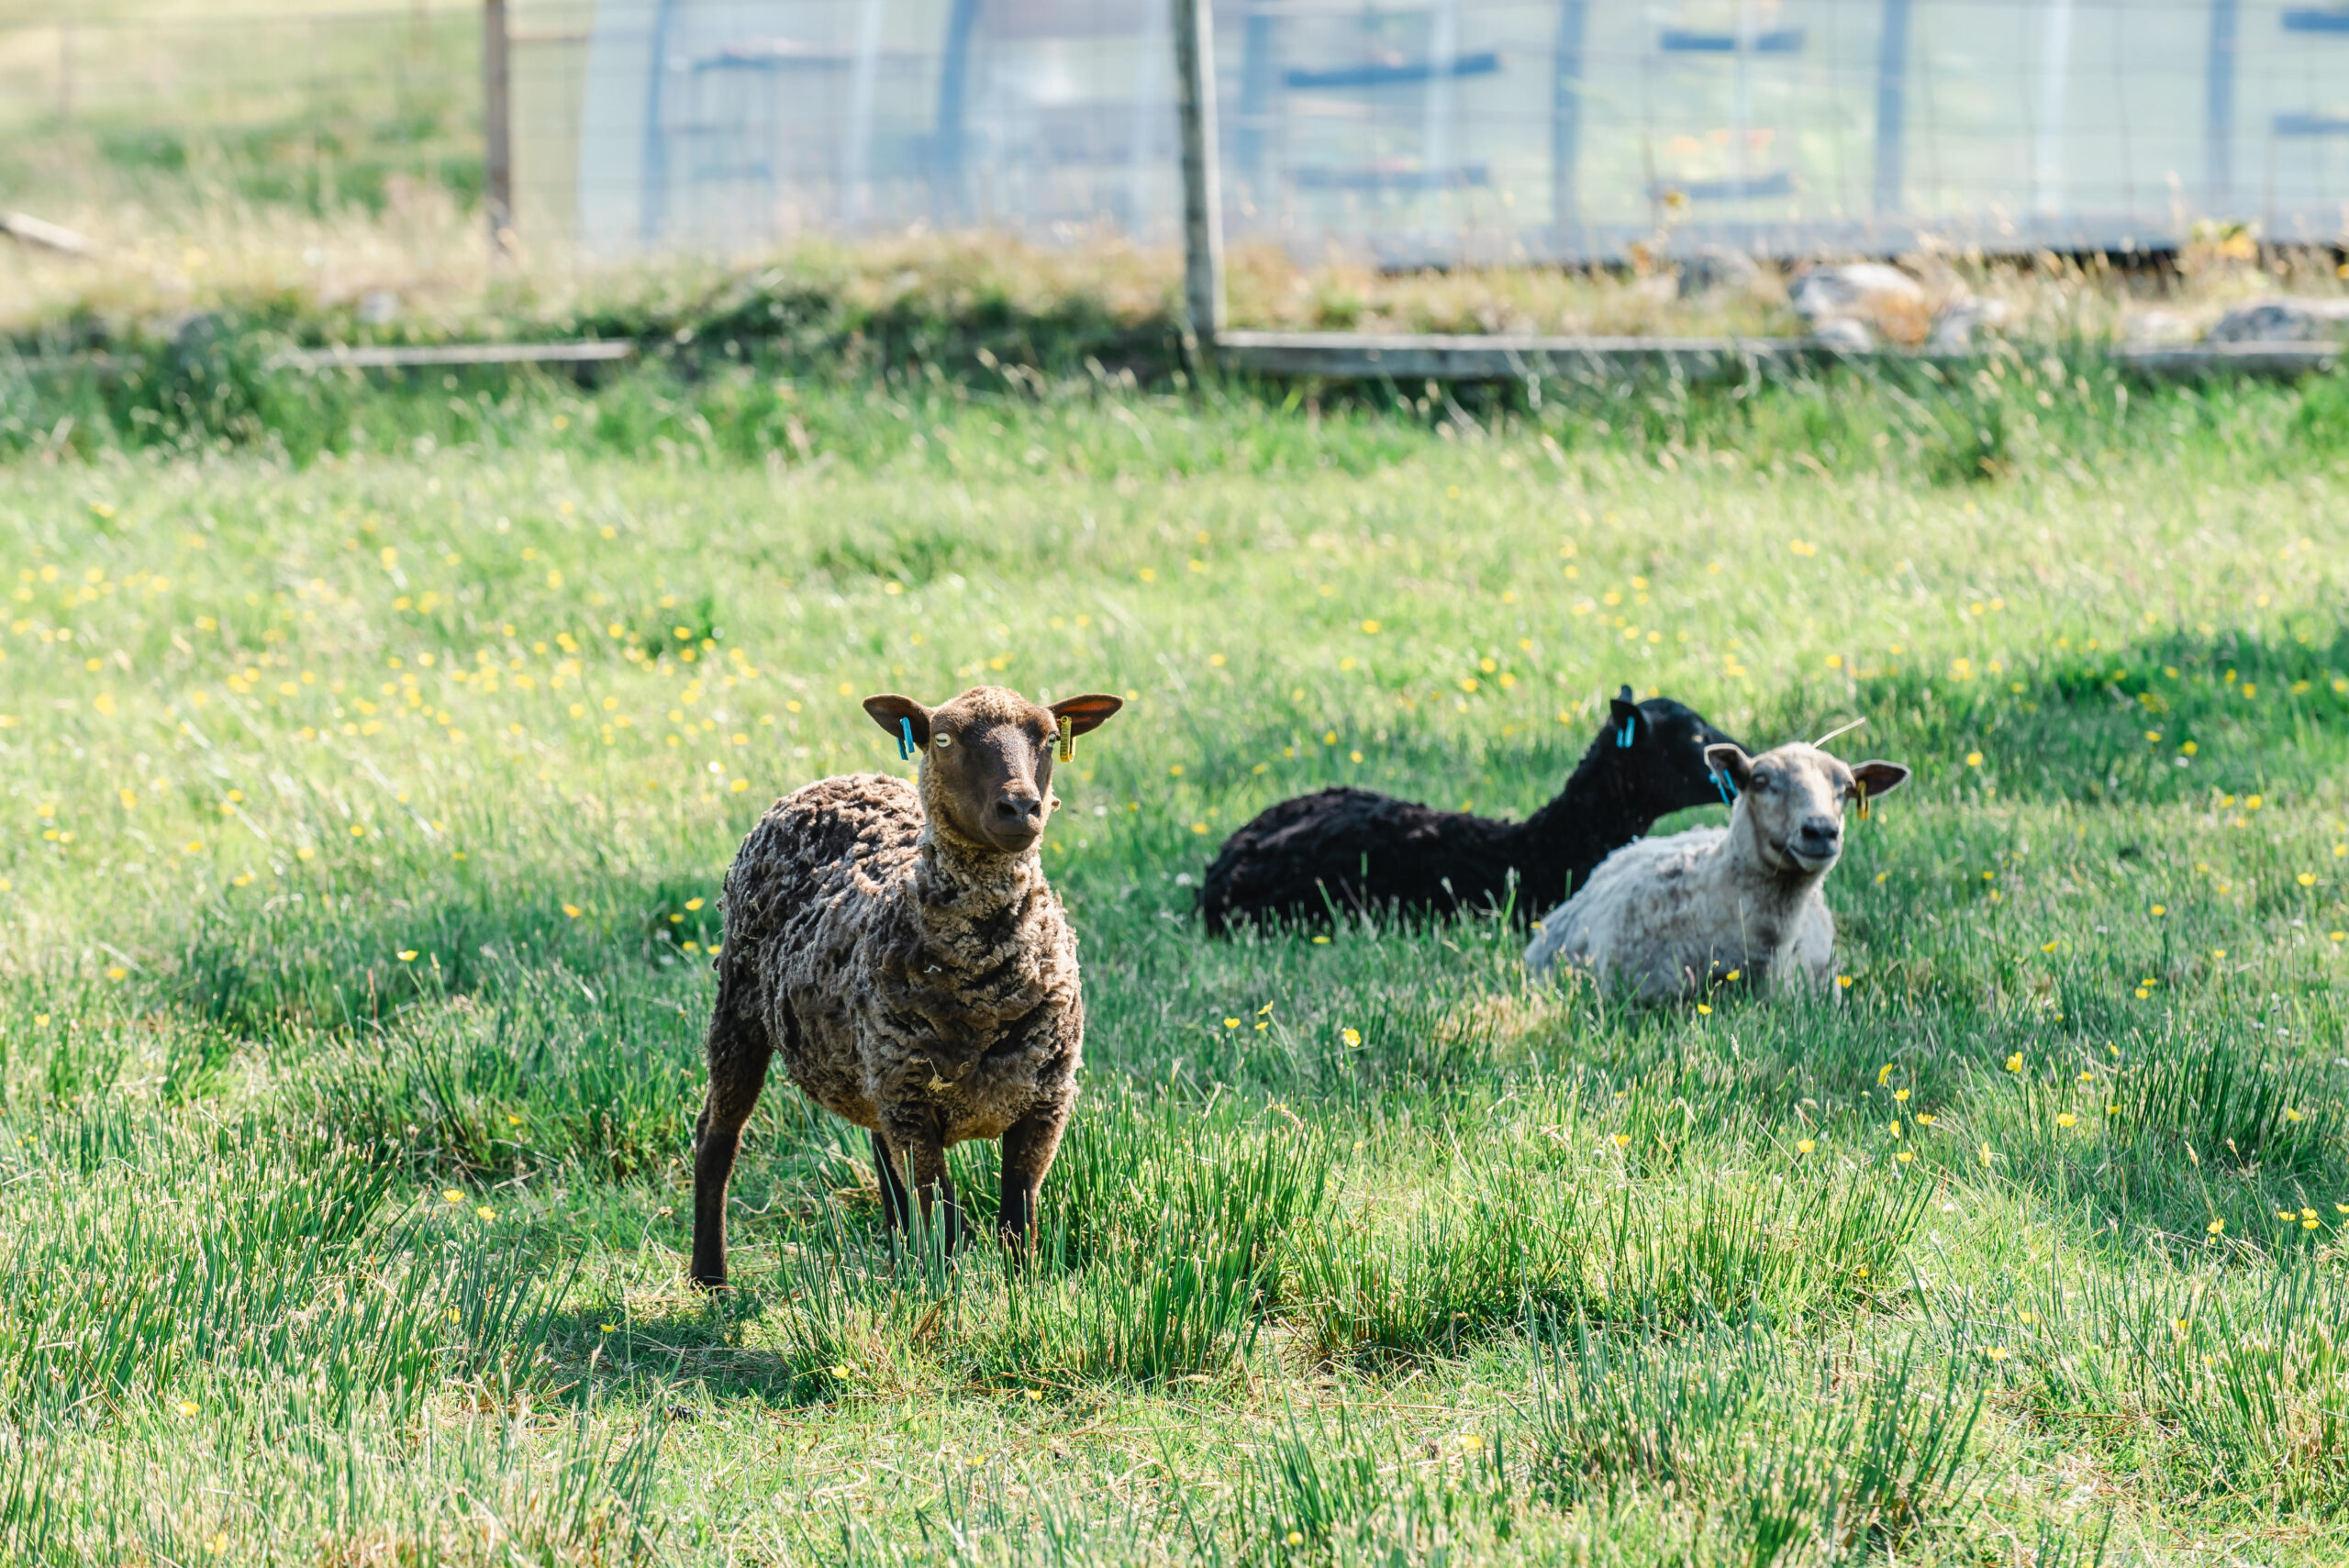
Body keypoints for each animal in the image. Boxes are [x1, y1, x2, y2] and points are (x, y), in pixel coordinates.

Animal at [685, 685, 1118, 1285]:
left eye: (1051, 738)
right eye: (943, 738)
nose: (1021, 809)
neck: (986, 992)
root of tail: (834, 779)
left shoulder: (1043, 1101)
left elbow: (1017, 1217)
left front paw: (1021, 1292)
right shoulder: (914, 1105)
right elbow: (946, 1218)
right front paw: (949, 1296)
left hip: (873, 1065)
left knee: (882, 1161)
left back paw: (897, 1260)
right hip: (741, 1004)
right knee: (717, 1135)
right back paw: (711, 1278)